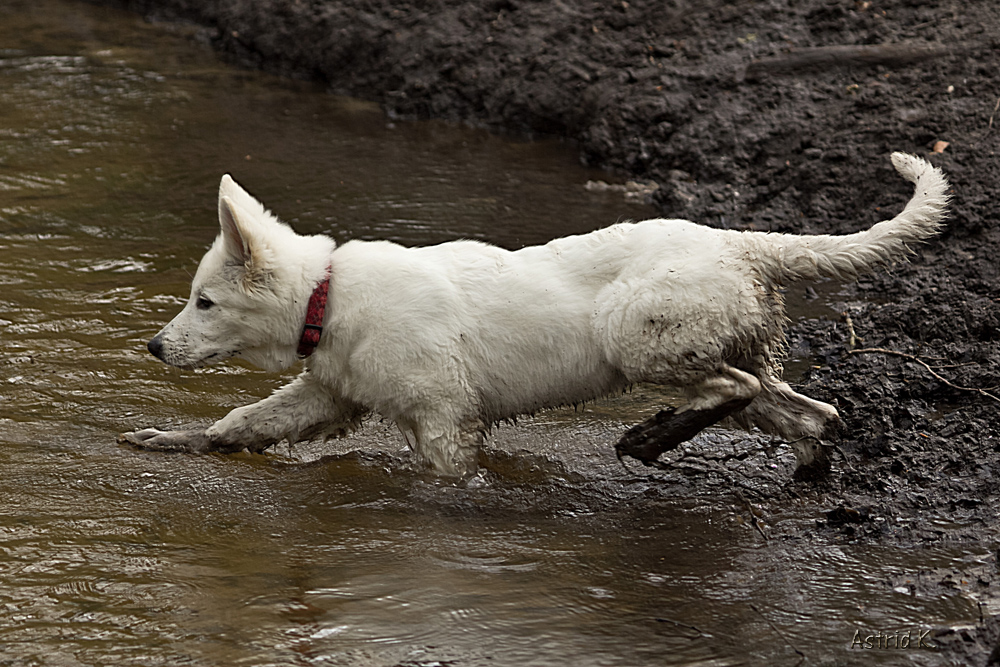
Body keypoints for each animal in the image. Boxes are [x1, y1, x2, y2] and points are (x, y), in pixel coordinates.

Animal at [121, 154, 948, 478]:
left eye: (205, 301)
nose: (155, 347)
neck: (330, 294)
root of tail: (741, 243)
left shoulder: (444, 419)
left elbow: (447, 476)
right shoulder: (330, 394)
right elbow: (242, 423)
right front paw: (169, 440)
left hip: (640, 333)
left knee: (732, 389)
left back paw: (648, 439)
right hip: (734, 347)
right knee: (815, 413)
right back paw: (806, 475)